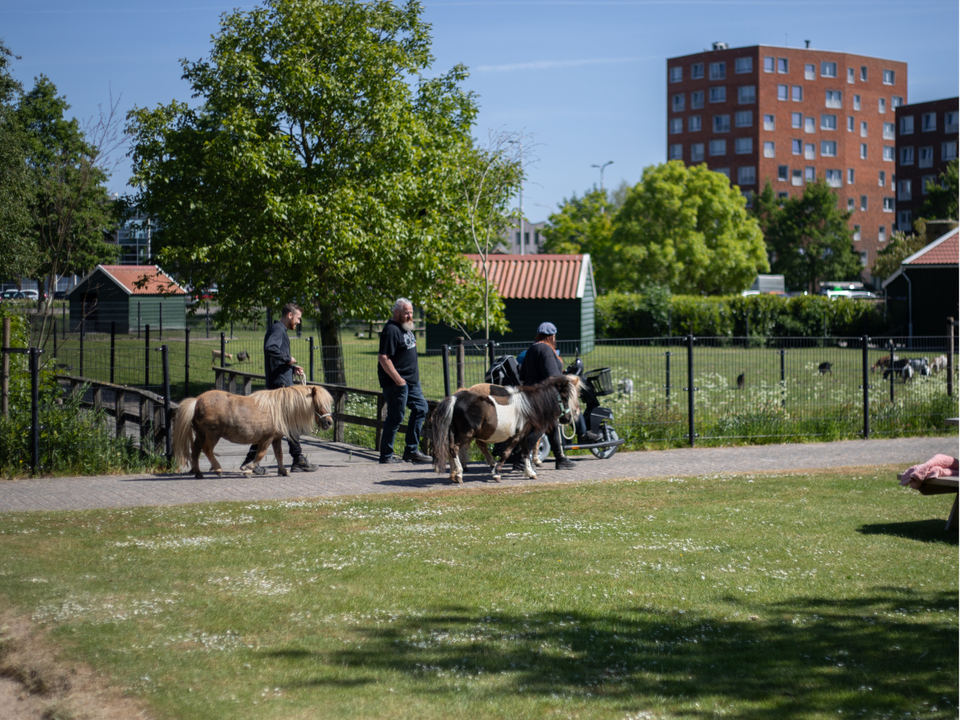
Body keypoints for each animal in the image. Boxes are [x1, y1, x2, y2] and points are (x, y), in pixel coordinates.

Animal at [172, 384, 334, 478]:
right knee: (207, 450)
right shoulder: (266, 439)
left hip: (201, 434)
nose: (329, 422)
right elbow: (260, 455)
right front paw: (248, 469)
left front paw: (283, 471)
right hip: (212, 434)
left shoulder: (276, 439)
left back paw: (198, 472)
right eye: (319, 404)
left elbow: (279, 455)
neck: (279, 409)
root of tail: (197, 401)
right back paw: (217, 469)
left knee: (195, 449)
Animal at [427, 375, 581, 484]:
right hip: (466, 434)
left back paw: (455, 473)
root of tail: (455, 398)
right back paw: (459, 473)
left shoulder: (523, 435)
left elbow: (525, 453)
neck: (528, 407)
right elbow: (506, 453)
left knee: (455, 448)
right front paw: (497, 473)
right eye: (565, 398)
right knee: (454, 448)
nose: (568, 419)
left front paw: (530, 472)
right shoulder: (517, 436)